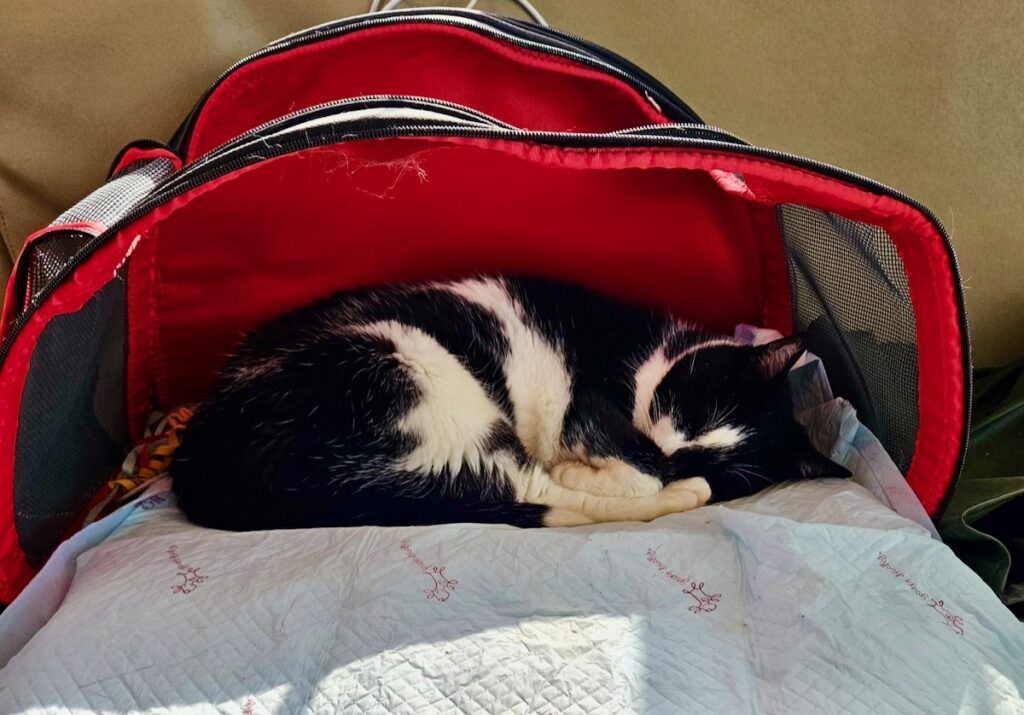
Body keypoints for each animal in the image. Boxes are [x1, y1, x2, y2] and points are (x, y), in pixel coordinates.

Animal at [174, 274, 847, 528]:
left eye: (708, 450)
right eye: (694, 408)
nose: (670, 458)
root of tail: (201, 442)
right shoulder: (591, 395)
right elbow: (627, 469)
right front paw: (613, 470)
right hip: (416, 367)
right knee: (529, 489)